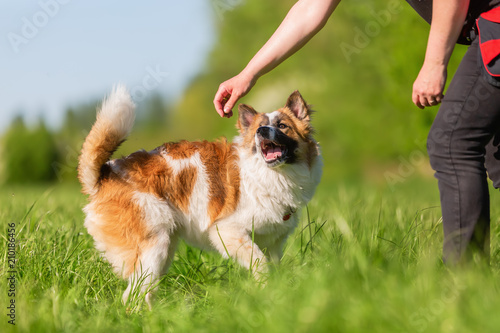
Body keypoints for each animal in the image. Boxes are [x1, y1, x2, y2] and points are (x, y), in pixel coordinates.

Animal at [77, 85, 320, 306]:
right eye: (259, 128)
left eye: (282, 126)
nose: (261, 132)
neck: (270, 174)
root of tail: (106, 174)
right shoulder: (227, 231)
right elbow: (260, 264)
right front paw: (265, 293)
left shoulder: (274, 243)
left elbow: (273, 266)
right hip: (153, 248)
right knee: (131, 296)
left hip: (164, 250)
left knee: (144, 292)